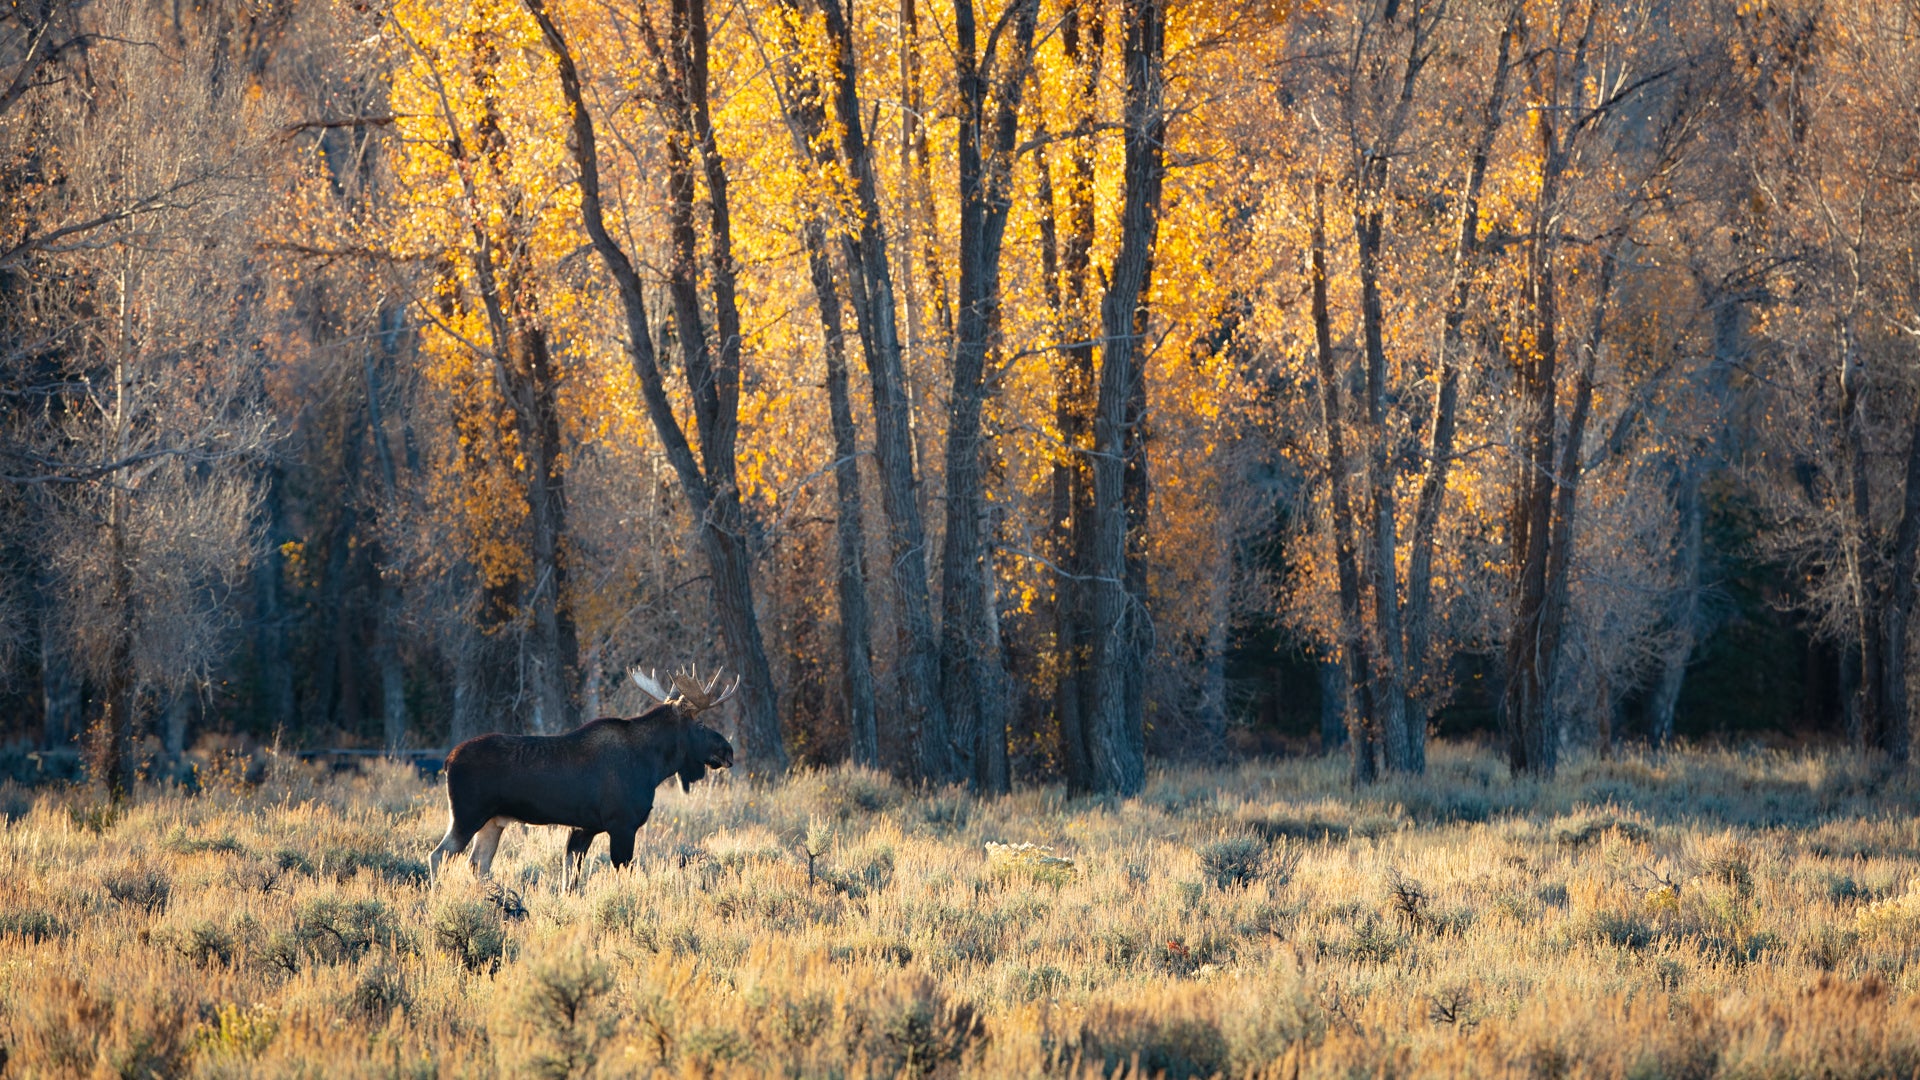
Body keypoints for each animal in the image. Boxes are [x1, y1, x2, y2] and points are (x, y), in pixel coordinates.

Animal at [428, 665, 738, 888]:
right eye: (700, 723)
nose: (728, 750)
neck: (652, 767)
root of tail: (447, 761)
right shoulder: (622, 825)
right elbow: (622, 875)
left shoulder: (583, 828)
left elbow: (571, 883)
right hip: (467, 815)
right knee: (438, 855)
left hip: (493, 821)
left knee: (477, 864)